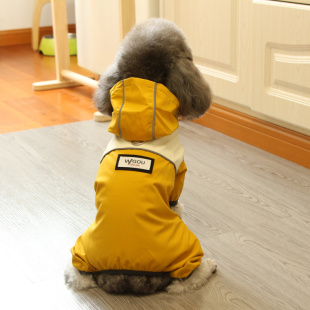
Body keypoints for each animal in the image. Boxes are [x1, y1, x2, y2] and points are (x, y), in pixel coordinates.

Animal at [65, 17, 216, 296]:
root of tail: (125, 275)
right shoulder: (179, 176)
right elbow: (176, 202)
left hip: (81, 251)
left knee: (78, 276)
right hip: (185, 249)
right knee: (181, 283)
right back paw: (207, 267)